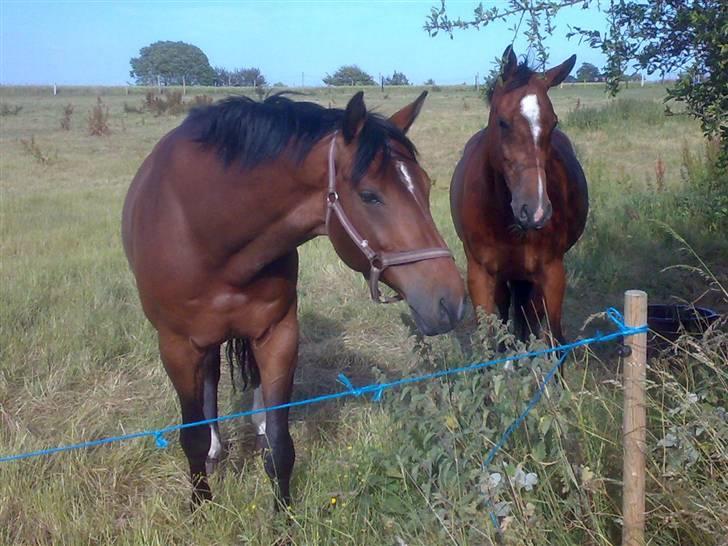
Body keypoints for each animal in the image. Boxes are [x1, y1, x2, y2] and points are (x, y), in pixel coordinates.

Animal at [120, 90, 464, 506]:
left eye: (426, 186)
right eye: (370, 196)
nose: (450, 301)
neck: (205, 229)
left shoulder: (279, 333)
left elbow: (281, 442)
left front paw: (283, 511)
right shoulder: (176, 346)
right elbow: (193, 435)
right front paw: (201, 502)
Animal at [452, 45, 588, 344]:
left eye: (553, 123)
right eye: (503, 122)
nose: (535, 211)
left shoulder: (552, 273)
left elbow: (554, 337)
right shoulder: (480, 275)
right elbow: (491, 339)